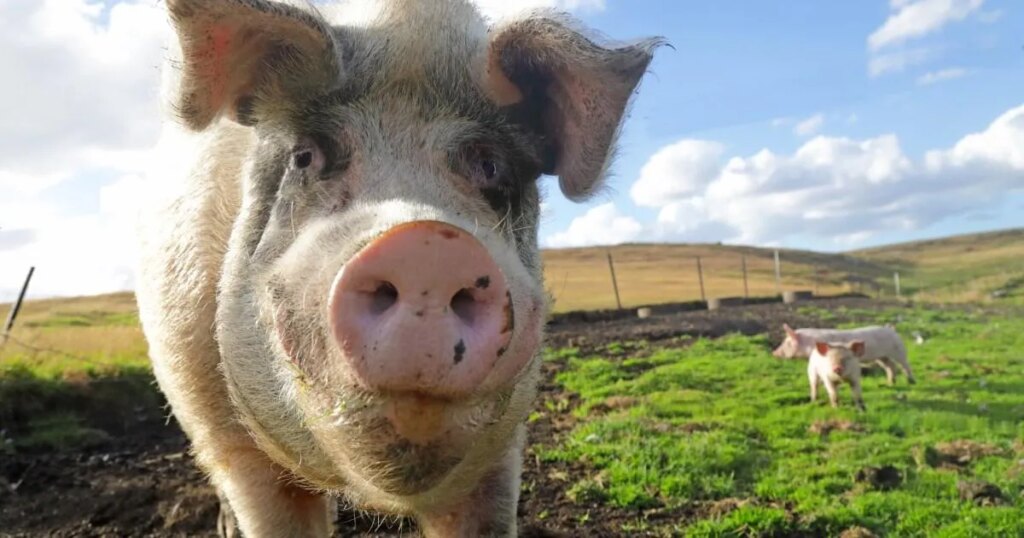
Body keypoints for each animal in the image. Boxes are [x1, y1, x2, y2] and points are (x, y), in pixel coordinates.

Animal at [773, 324, 916, 385]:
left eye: (786, 342)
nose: (774, 353)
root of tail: (890, 329)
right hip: (881, 357)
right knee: (890, 366)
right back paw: (891, 383)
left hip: (899, 350)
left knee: (905, 365)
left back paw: (911, 382)